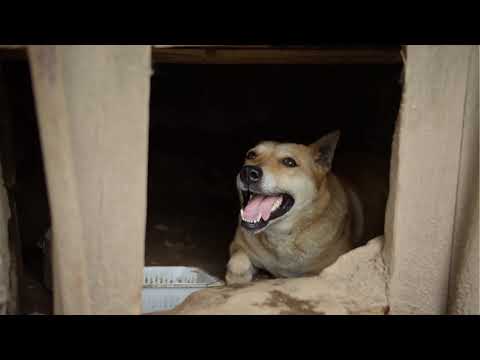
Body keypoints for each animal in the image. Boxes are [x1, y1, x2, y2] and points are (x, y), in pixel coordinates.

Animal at [225, 131, 386, 286]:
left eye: (289, 162)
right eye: (251, 155)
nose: (247, 172)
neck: (282, 235)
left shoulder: (325, 269)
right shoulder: (239, 245)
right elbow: (237, 263)